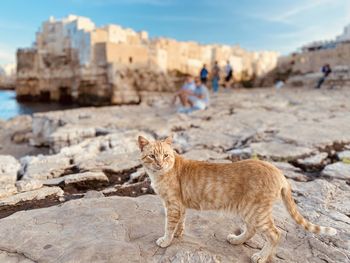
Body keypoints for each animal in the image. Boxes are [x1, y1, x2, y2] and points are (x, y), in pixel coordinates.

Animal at [138, 136, 338, 263]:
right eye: (152, 156)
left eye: (165, 155)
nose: (159, 163)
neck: (162, 174)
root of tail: (277, 170)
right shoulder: (180, 205)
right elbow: (181, 221)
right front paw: (178, 234)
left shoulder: (172, 205)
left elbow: (169, 225)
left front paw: (166, 240)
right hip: (247, 210)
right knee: (251, 229)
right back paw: (236, 240)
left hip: (255, 211)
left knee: (275, 234)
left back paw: (261, 257)